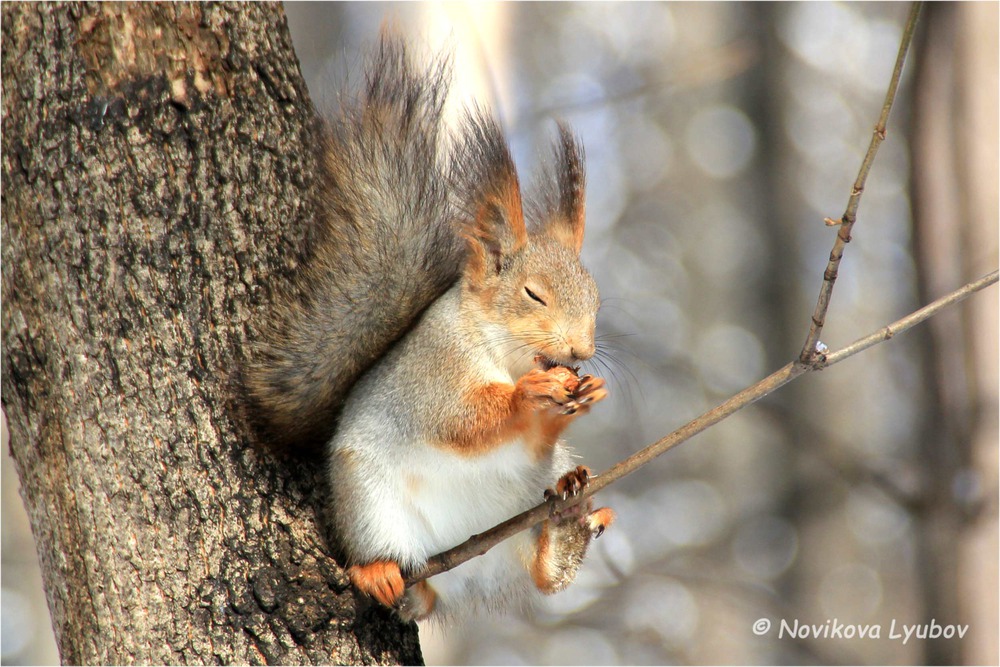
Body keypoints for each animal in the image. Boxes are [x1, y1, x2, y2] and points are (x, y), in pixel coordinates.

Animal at [246, 35, 612, 620]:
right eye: (533, 294)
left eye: (596, 299)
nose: (582, 351)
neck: (501, 354)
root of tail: (463, 573)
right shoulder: (433, 372)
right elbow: (458, 419)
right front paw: (531, 396)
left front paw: (587, 391)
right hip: (371, 504)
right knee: (402, 581)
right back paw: (380, 573)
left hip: (521, 514)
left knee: (541, 575)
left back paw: (568, 525)